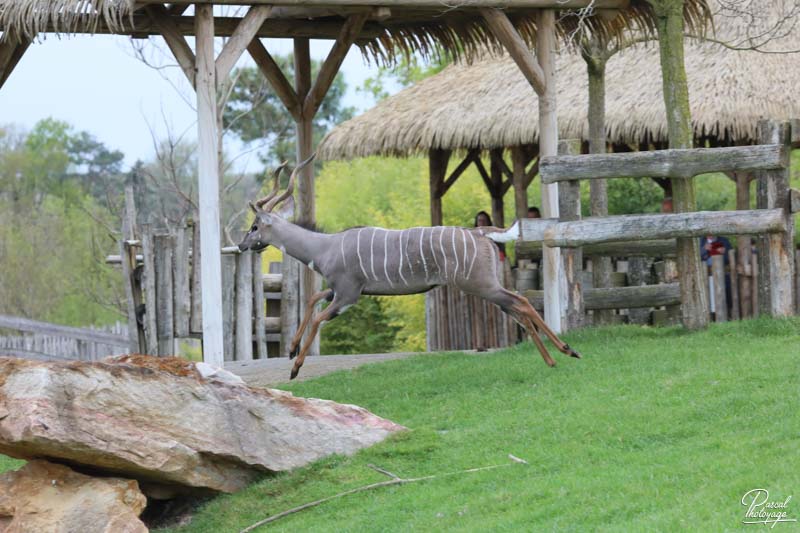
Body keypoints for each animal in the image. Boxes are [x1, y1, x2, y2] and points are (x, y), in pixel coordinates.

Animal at [238, 154, 580, 378]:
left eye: (254, 226)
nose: (242, 245)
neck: (326, 247)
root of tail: (480, 233)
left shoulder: (348, 295)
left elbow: (319, 316)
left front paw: (295, 367)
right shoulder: (337, 291)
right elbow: (311, 301)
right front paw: (291, 349)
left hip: (481, 286)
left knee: (521, 302)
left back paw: (565, 352)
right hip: (487, 287)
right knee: (519, 307)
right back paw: (558, 357)